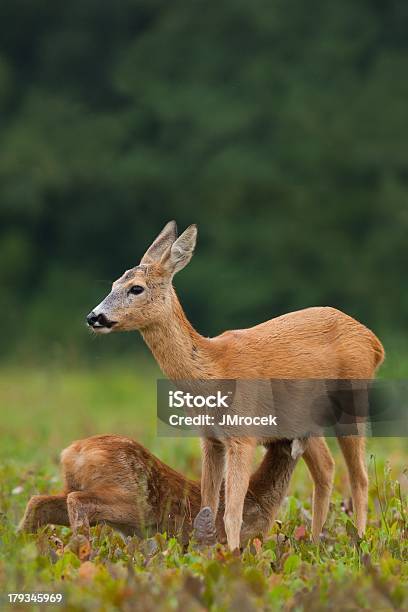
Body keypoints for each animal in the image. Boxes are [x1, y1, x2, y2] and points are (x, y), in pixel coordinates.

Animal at [19, 436, 306, 544]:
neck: (260, 496)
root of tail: (75, 452)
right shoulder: (246, 539)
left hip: (72, 485)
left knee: (38, 501)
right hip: (132, 503)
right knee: (78, 501)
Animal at [87, 222, 386, 552]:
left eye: (136, 288)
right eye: (113, 283)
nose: (94, 317)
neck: (214, 368)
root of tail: (374, 342)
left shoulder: (243, 435)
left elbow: (232, 511)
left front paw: (232, 555)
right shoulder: (210, 439)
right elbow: (207, 505)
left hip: (353, 402)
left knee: (359, 476)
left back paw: (359, 540)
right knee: (326, 468)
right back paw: (315, 541)